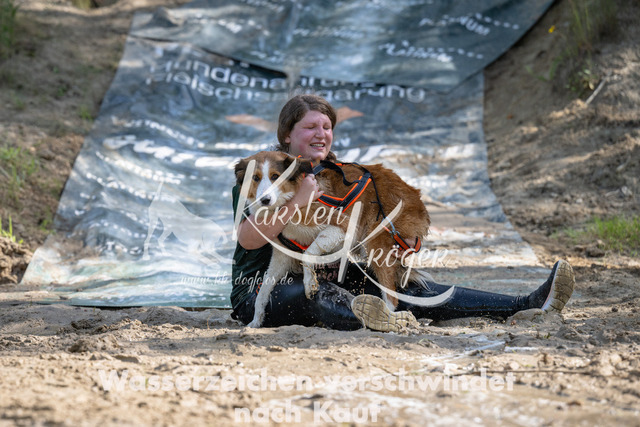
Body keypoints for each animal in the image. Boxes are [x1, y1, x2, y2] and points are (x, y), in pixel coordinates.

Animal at [234, 151, 431, 328]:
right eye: (255, 178)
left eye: (275, 176)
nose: (264, 200)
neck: (289, 201)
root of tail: (417, 197)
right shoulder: (282, 256)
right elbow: (263, 290)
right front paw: (256, 319)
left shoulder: (344, 227)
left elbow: (308, 252)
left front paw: (309, 283)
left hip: (376, 242)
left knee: (391, 297)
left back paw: (385, 318)